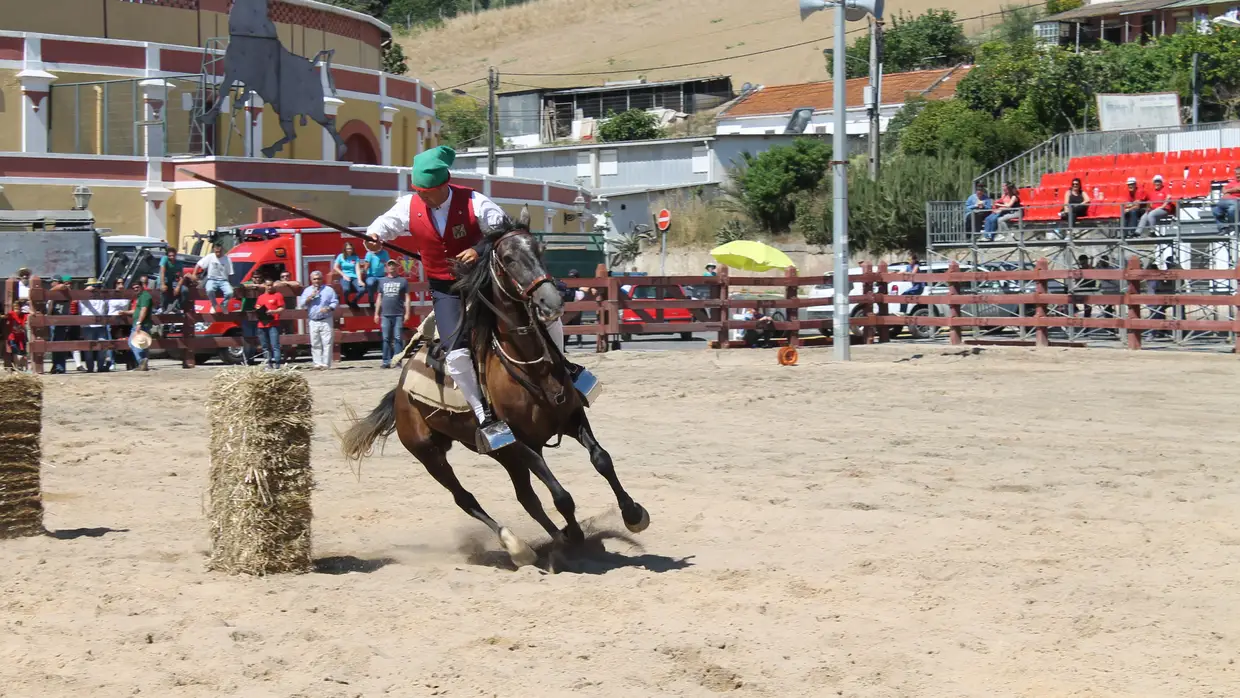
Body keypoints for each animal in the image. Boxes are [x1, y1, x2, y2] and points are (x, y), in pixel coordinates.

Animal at [339, 207, 649, 567]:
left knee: (526, 497)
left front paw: (632, 514)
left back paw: (550, 541)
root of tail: (400, 392)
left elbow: (601, 459)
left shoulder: (570, 418)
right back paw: (517, 545)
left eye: (539, 250)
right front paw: (574, 535)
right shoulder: (523, 444)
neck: (530, 367)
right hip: (432, 454)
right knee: (466, 498)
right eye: (509, 258)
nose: (551, 299)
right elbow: (562, 495)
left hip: (502, 455)